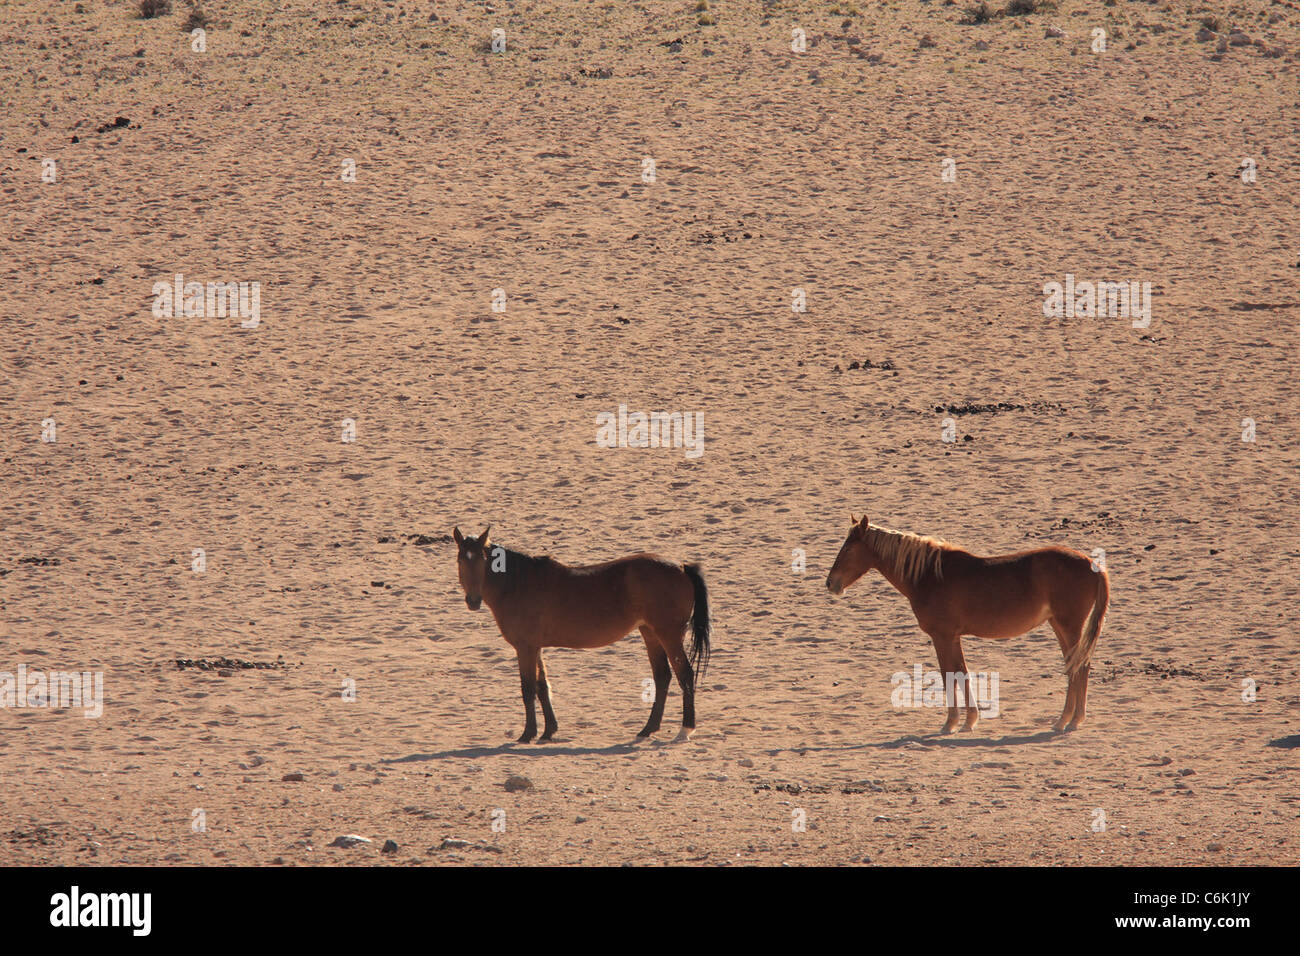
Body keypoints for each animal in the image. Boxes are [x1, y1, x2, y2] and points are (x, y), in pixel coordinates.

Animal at [452, 526, 711, 743]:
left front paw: (528, 734)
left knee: (685, 675)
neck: (517, 584)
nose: (473, 601)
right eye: (460, 560)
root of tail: (682, 567)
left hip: (669, 635)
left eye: (482, 559)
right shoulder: (535, 647)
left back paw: (685, 730)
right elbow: (542, 686)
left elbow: (528, 689)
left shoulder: (525, 648)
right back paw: (647, 729)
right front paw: (548, 731)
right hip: (650, 634)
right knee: (662, 676)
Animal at [826, 515, 1109, 734]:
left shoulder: (942, 636)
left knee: (1080, 667)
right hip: (1059, 626)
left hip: (1069, 626)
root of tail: (1091, 563)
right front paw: (970, 720)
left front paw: (951, 723)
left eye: (848, 549)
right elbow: (961, 673)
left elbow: (949, 674)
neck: (929, 575)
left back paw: (1070, 721)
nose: (830, 583)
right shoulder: (952, 637)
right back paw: (1067, 719)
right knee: (1076, 665)